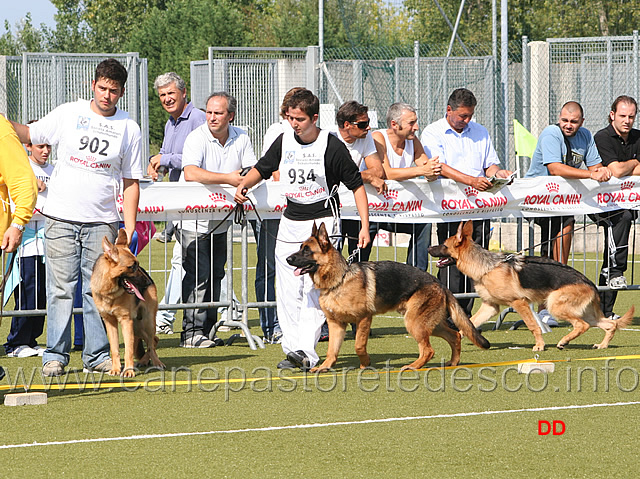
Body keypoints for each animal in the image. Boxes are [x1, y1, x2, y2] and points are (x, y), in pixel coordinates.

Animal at [90, 230, 166, 378]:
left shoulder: (126, 321)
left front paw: (128, 371)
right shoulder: (110, 322)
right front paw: (115, 369)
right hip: (137, 326)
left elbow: (129, 349)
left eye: (138, 264)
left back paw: (156, 362)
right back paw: (143, 361)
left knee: (152, 342)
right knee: (153, 340)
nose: (148, 282)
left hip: (147, 322)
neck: (110, 292)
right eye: (132, 267)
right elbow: (114, 348)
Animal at [286, 223, 490, 374]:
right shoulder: (336, 324)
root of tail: (439, 283)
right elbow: (332, 350)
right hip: (428, 323)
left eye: (306, 251)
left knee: (429, 350)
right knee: (455, 335)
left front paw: (365, 363)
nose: (287, 259)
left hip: (415, 323)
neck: (339, 280)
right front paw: (325, 367)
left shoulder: (364, 319)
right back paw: (453, 362)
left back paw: (413, 366)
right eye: (300, 248)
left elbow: (359, 345)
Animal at [428, 221, 632, 352]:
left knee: (582, 325)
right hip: (585, 313)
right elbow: (469, 324)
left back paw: (563, 342)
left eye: (443, 245)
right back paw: (602, 345)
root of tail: (589, 283)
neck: (487, 266)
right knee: (610, 325)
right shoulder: (490, 307)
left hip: (556, 306)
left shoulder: (519, 302)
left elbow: (533, 325)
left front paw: (540, 345)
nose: (429, 248)